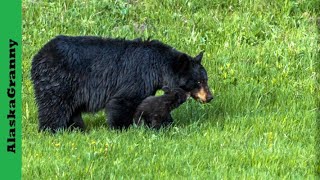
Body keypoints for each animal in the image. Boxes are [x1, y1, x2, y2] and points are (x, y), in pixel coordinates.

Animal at [31, 35, 214, 132]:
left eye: (206, 79)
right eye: (198, 81)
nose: (210, 97)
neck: (157, 66)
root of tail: (38, 56)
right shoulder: (138, 76)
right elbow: (123, 101)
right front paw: (122, 128)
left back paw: (76, 129)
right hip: (59, 81)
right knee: (54, 106)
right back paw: (51, 130)